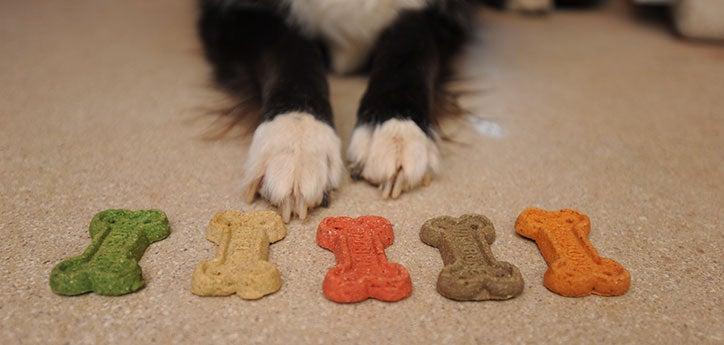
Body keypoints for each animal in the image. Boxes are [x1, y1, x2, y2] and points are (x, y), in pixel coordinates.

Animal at [201, 0, 476, 220]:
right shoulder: (239, 16)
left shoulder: (438, 20)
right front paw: (295, 142)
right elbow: (292, 55)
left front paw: (397, 128)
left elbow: (409, 52)